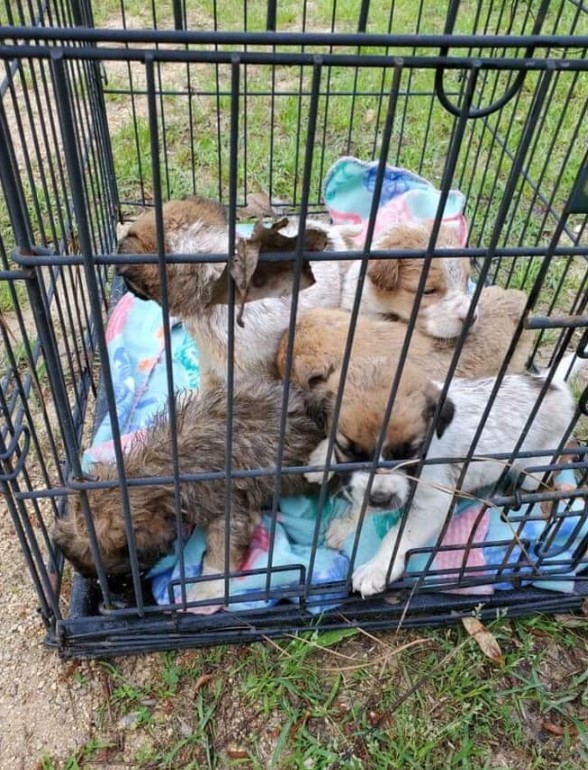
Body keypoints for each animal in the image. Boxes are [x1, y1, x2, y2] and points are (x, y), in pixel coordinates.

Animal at [52, 378, 324, 608]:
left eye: (121, 572)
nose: (112, 598)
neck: (158, 469)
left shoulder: (226, 507)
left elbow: (222, 550)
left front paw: (207, 588)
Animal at [306, 352, 584, 596]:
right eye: (347, 449)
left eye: (411, 450)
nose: (381, 499)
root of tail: (552, 384)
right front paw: (323, 463)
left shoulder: (432, 503)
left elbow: (398, 538)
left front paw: (376, 569)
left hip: (535, 465)